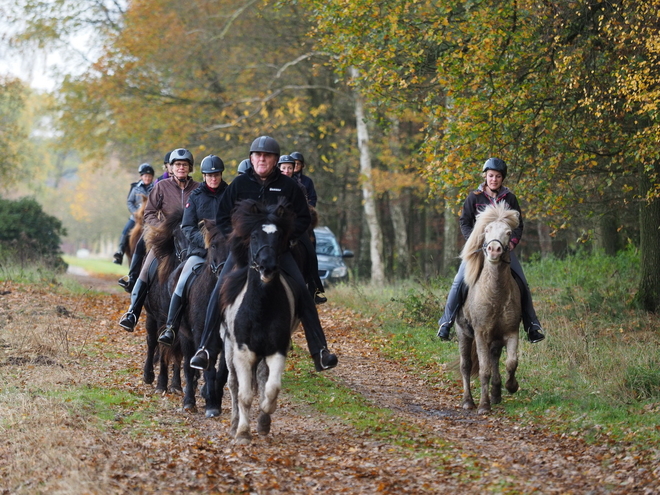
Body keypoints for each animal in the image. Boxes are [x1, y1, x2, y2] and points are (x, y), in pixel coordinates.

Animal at [220, 199, 300, 446]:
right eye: (254, 236)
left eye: (279, 236)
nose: (268, 267)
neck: (261, 308)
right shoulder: (243, 353)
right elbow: (244, 395)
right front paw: (243, 433)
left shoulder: (277, 350)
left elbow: (272, 388)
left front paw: (264, 415)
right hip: (228, 348)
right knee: (233, 384)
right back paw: (234, 424)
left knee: (263, 378)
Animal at [454, 202, 520, 414]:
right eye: (487, 230)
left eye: (508, 232)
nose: (494, 250)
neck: (495, 294)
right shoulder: (481, 334)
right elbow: (483, 370)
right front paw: (484, 405)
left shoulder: (511, 332)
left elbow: (511, 362)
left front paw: (511, 386)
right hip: (463, 334)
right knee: (466, 365)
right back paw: (468, 401)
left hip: (495, 340)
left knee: (495, 358)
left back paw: (496, 393)